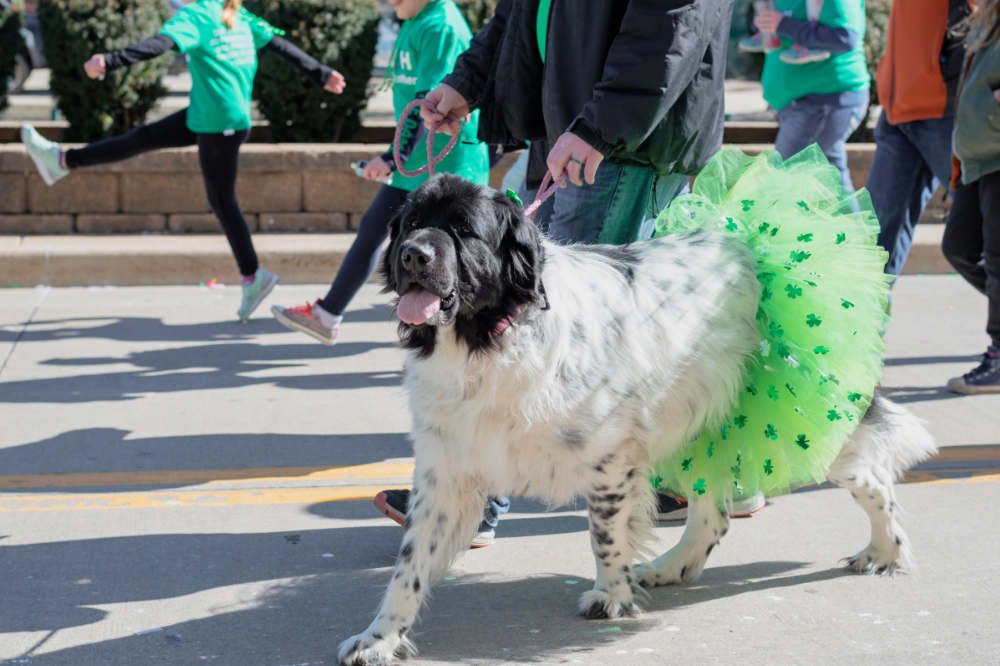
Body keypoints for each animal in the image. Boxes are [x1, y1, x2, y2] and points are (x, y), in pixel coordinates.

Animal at [340, 174, 940, 660]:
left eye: (464, 231)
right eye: (410, 224)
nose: (413, 255)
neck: (489, 336)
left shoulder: (608, 457)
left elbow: (604, 533)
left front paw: (610, 596)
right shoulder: (448, 468)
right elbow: (410, 566)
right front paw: (378, 639)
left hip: (807, 418)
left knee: (873, 480)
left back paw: (885, 552)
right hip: (706, 422)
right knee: (714, 513)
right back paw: (673, 567)